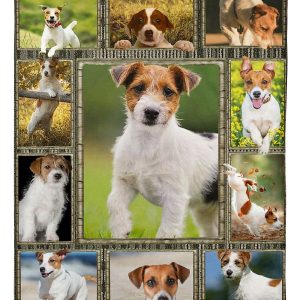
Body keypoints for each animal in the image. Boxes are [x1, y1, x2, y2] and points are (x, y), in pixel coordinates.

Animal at [107, 62, 218, 238]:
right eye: (139, 87)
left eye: (168, 91)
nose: (151, 112)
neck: (147, 143)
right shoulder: (125, 181)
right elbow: (113, 202)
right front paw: (121, 229)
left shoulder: (175, 196)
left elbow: (167, 229)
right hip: (205, 212)